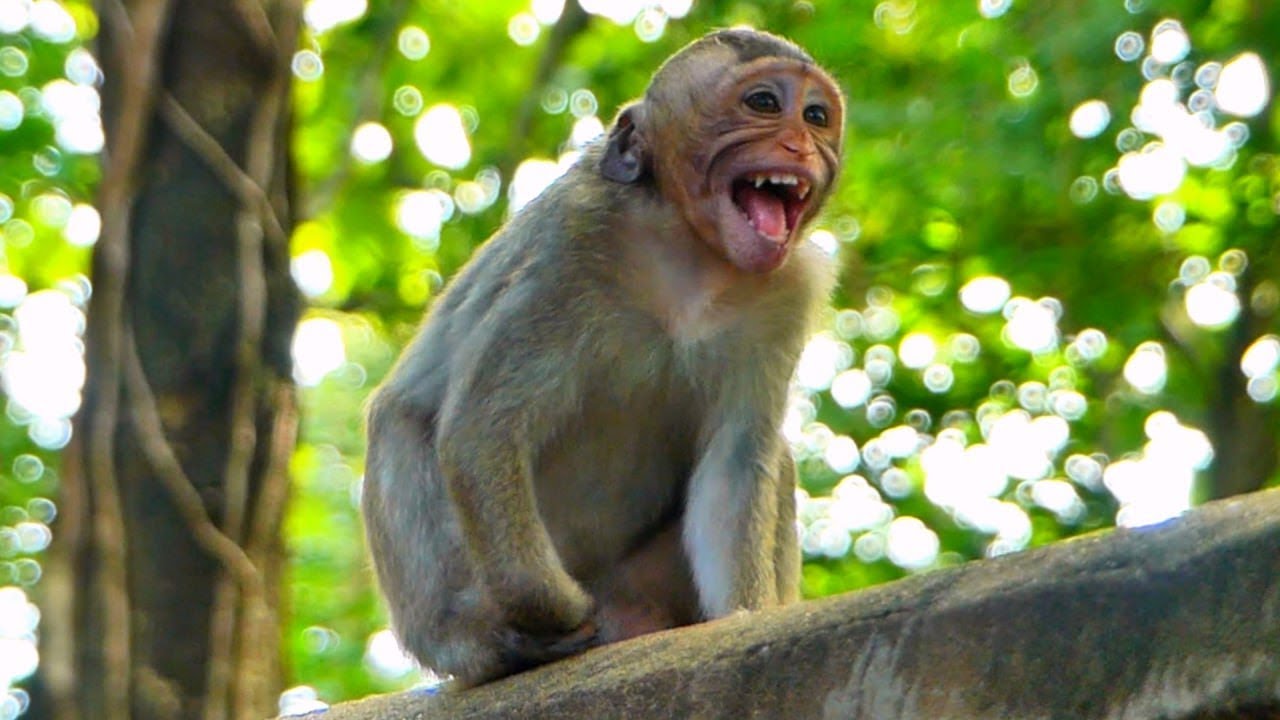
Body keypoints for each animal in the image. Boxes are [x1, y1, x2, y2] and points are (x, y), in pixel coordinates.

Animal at [361, 28, 845, 687]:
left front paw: (744, 619)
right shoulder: (568, 246)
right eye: (765, 103)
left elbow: (736, 464)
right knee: (398, 422)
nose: (800, 143)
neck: (689, 255)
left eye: (816, 116)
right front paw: (555, 612)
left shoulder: (786, 294)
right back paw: (481, 640)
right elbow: (482, 430)